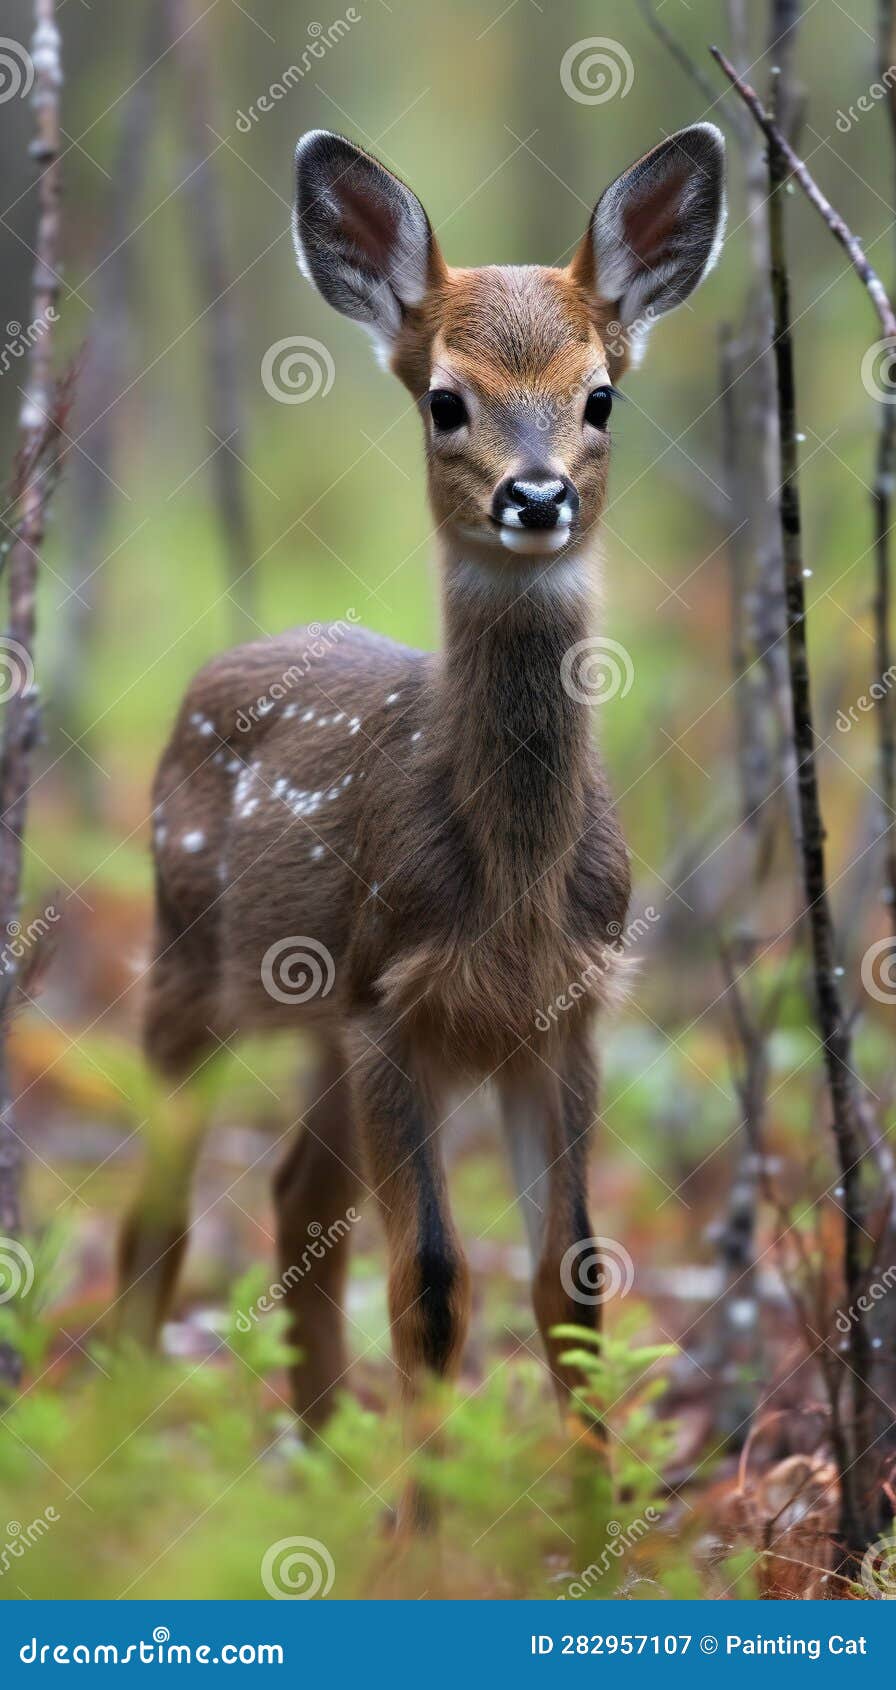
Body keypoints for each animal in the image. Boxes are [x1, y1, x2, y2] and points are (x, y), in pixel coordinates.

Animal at [118, 124, 725, 1444]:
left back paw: (322, 1449)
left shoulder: (563, 1014)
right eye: (445, 399)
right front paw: (428, 1496)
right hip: (189, 956)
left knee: (297, 1196)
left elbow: (571, 1279)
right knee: (159, 1210)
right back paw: (116, 1431)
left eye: (600, 395)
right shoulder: (390, 997)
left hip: (315, 1021)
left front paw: (581, 1501)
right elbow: (436, 1285)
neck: (510, 891)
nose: (535, 494)